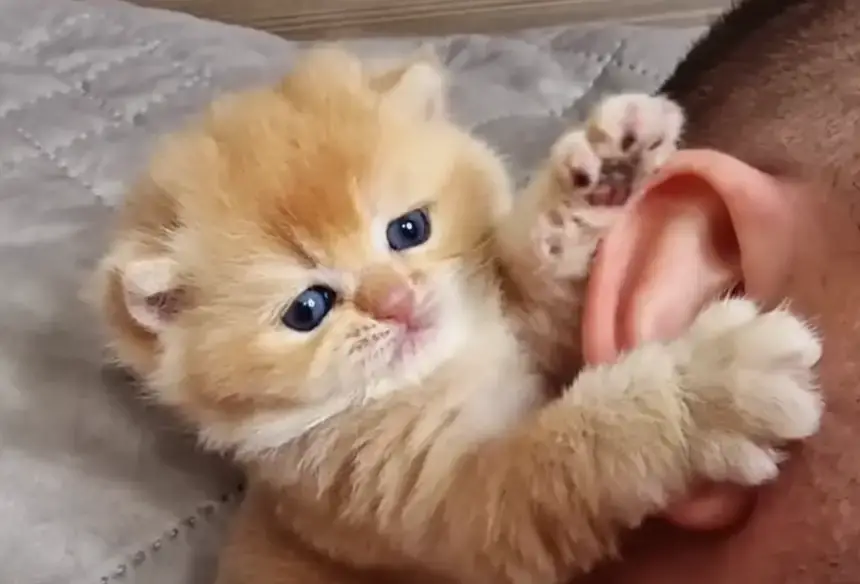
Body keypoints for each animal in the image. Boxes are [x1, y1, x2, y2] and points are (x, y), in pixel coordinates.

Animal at [90, 48, 824, 580]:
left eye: (408, 230)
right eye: (309, 309)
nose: (397, 303)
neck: (446, 368)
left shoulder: (530, 329)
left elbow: (543, 277)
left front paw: (606, 172)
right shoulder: (456, 510)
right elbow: (577, 450)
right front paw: (708, 391)